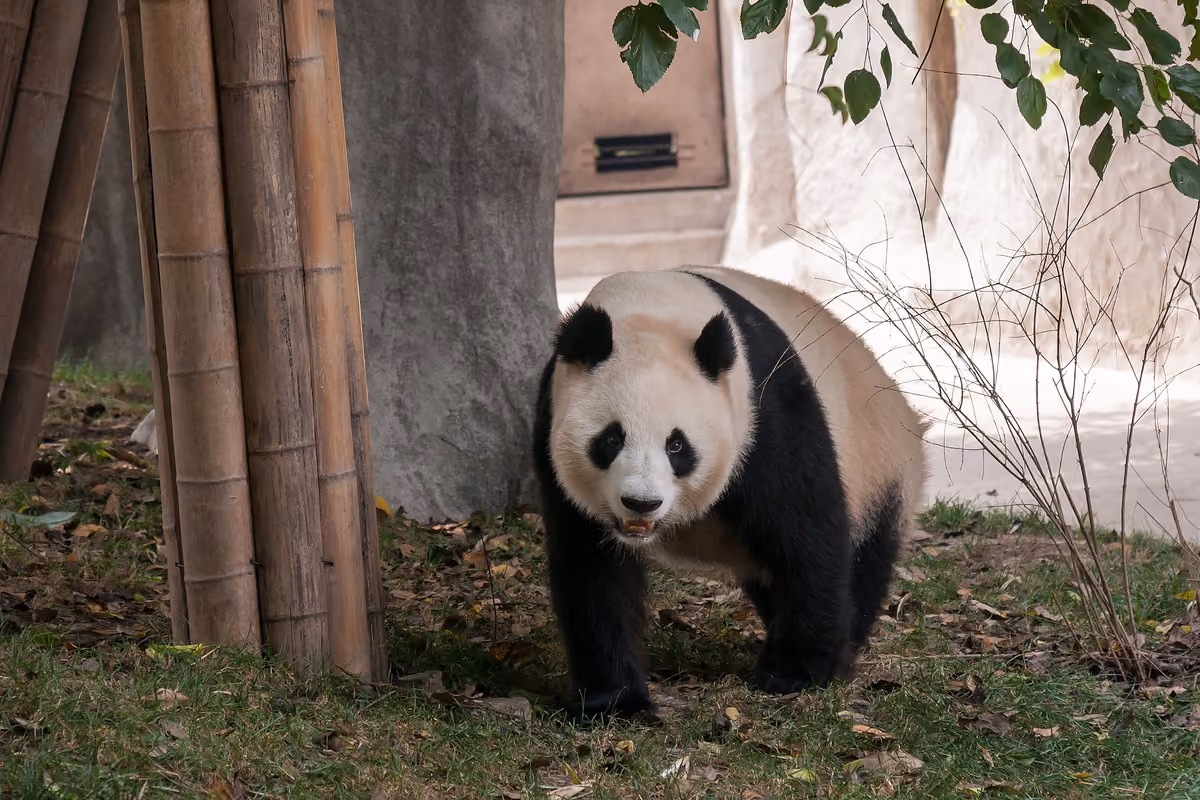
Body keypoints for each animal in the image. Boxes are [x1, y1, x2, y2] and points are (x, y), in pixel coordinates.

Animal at [531, 265, 929, 719]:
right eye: (611, 439)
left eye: (677, 445)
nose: (641, 503)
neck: (650, 308)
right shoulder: (551, 427)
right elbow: (594, 571)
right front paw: (613, 700)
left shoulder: (765, 410)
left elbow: (806, 537)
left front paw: (795, 674)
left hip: (879, 469)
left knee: (862, 559)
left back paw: (845, 646)